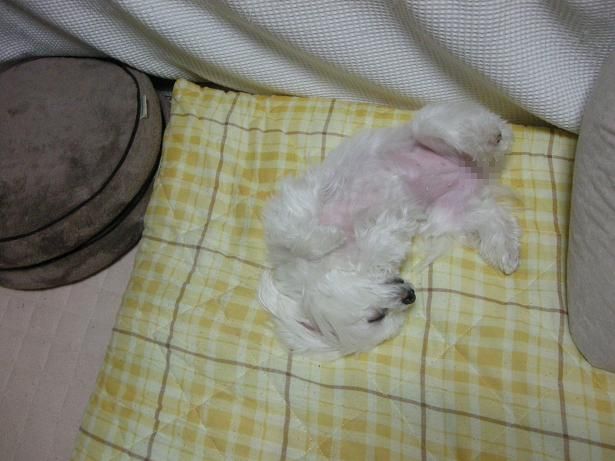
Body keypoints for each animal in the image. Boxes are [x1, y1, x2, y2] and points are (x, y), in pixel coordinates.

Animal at [259, 102, 519, 359]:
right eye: (381, 317)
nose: (410, 295)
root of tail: (478, 173)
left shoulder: (293, 209)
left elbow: (301, 238)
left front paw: (332, 237)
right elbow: (385, 240)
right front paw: (387, 226)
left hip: (428, 130)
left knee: (456, 128)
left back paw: (494, 135)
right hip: (450, 213)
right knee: (492, 220)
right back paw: (506, 252)